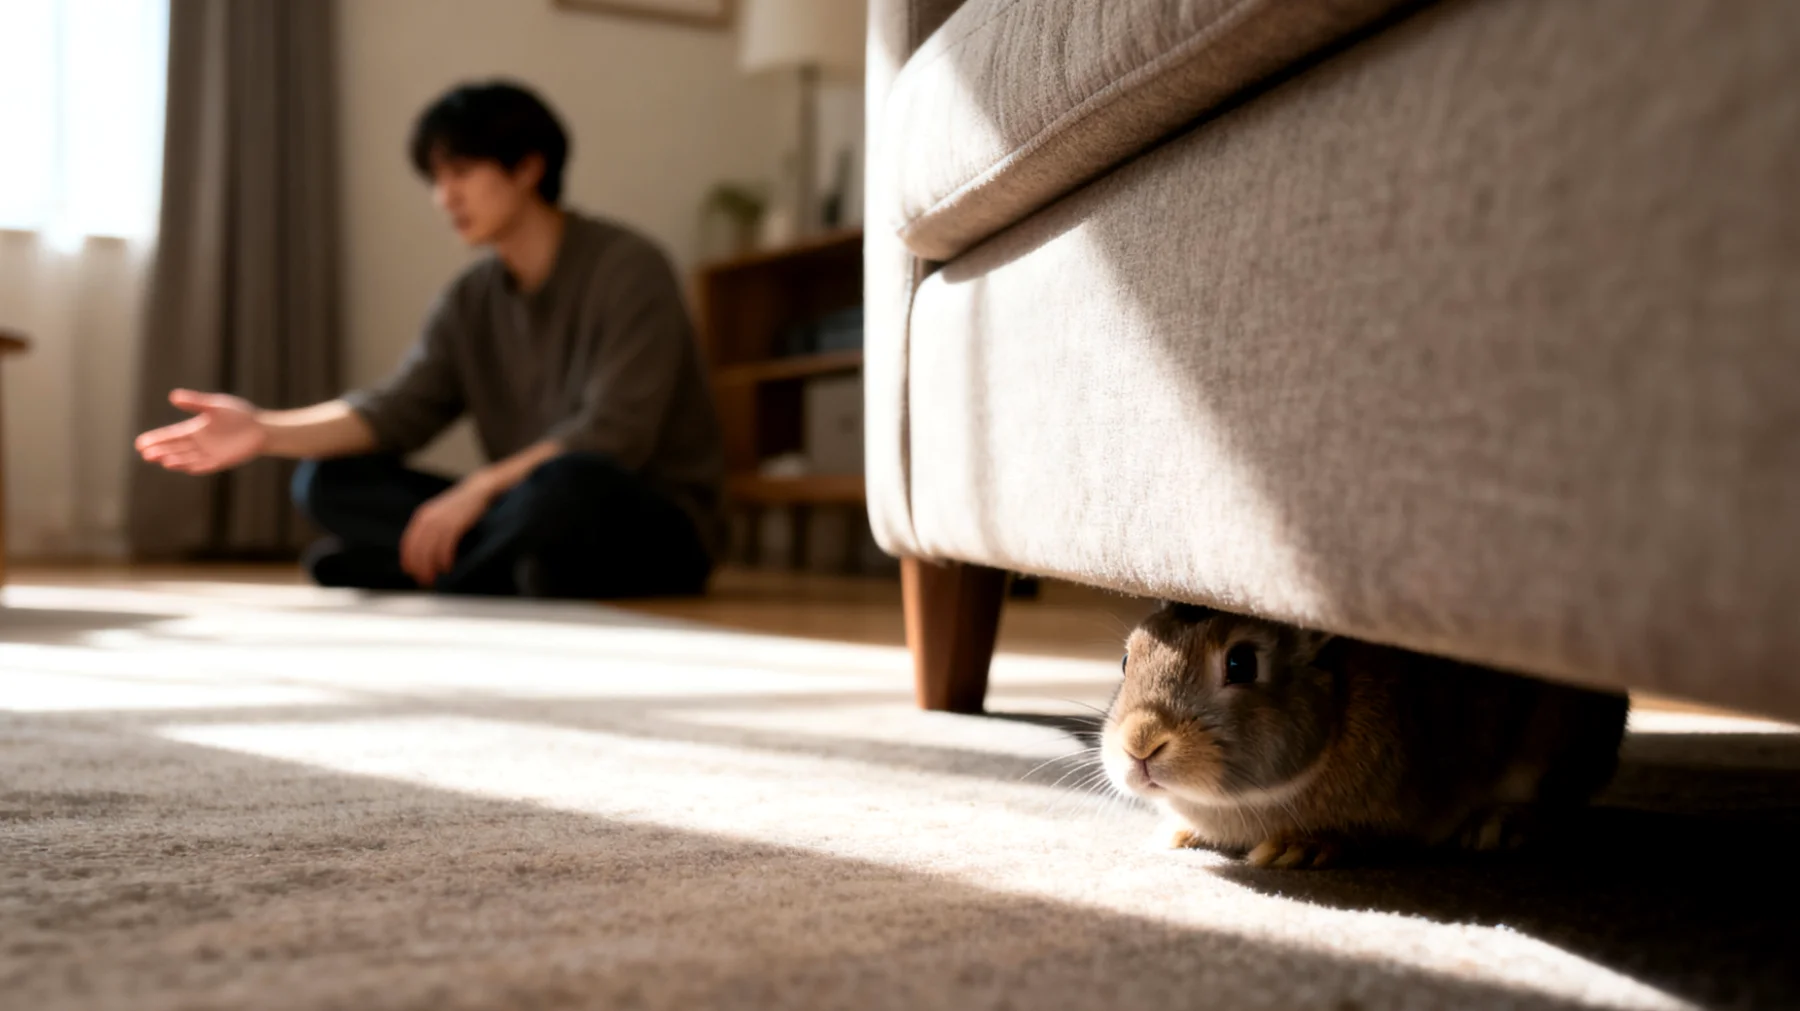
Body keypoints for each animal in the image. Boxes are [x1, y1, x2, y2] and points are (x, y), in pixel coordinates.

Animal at [1101, 602, 1628, 868]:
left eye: (1241, 664)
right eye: (1127, 660)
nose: (1140, 742)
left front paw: (1297, 848)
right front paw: (1179, 833)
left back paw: (1497, 828)